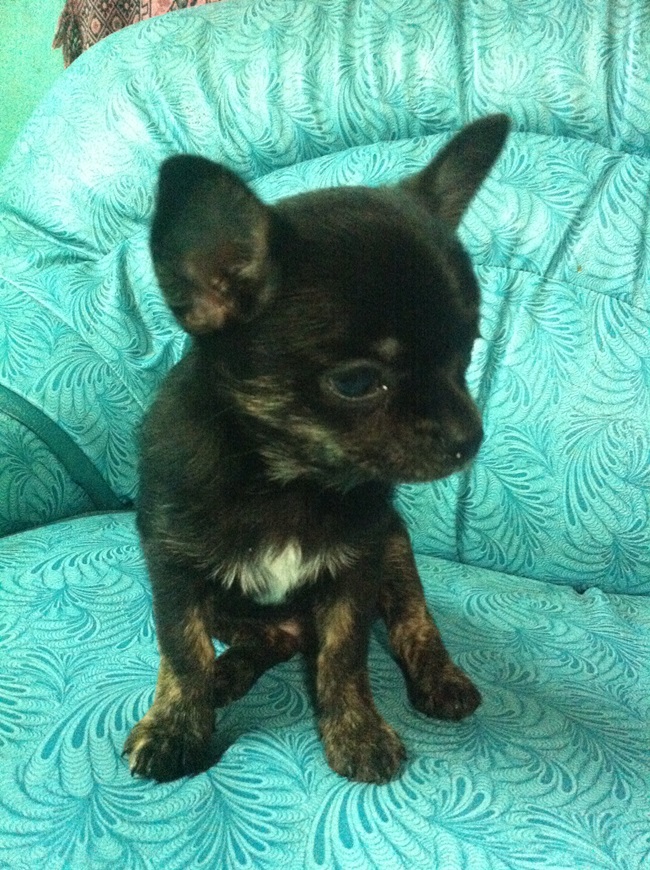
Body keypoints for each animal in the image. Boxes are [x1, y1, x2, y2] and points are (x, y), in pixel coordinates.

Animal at [123, 114, 509, 784]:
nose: (471, 438)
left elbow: (344, 658)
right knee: (265, 640)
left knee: (411, 621)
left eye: (467, 353)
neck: (288, 476)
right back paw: (228, 673)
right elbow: (182, 653)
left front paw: (356, 731)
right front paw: (176, 728)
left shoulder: (356, 570)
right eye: (356, 382)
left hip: (394, 550)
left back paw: (440, 676)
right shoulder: (174, 572)